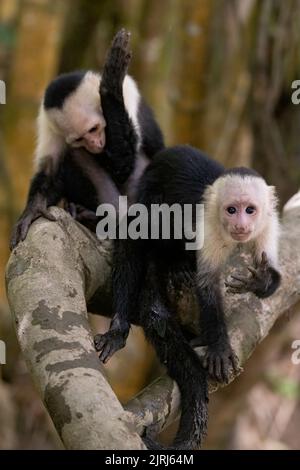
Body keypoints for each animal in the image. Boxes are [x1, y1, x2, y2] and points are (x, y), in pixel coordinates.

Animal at [10, 28, 164, 250]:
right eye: (80, 138)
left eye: (94, 129)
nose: (95, 144)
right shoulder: (47, 122)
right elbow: (50, 168)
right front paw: (35, 208)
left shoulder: (128, 94)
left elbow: (124, 167)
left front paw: (110, 86)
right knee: (73, 155)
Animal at [95, 145, 282, 450]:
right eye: (231, 210)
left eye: (250, 210)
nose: (241, 224)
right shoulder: (207, 227)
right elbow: (206, 287)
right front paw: (219, 346)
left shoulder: (268, 225)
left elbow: (275, 277)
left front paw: (260, 280)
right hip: (151, 192)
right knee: (145, 231)